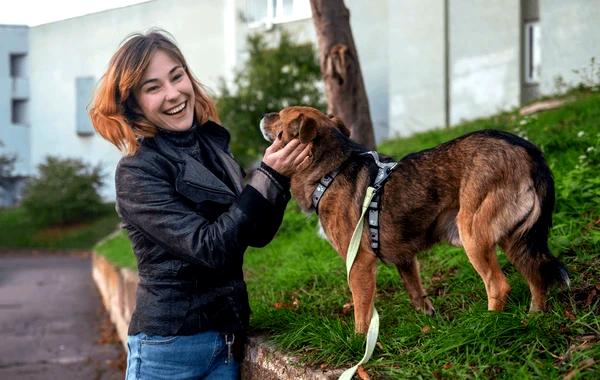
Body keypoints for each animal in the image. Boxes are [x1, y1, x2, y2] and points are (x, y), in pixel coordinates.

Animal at [258, 105, 568, 334]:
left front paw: (360, 344)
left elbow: (361, 310)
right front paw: (428, 322)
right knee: (536, 275)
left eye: (281, 115)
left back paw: (489, 325)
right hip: (516, 238)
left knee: (499, 285)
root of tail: (527, 149)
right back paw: (533, 318)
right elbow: (417, 293)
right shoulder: (404, 257)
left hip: (473, 234)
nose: (263, 115)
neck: (331, 170)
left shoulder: (358, 263)